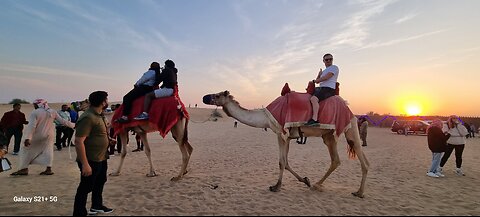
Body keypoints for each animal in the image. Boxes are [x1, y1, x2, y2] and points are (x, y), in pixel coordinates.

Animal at [202, 90, 372, 198]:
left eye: (217, 95)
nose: (204, 97)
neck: (265, 117)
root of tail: (350, 110)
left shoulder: (280, 133)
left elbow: (281, 162)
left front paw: (276, 187)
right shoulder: (288, 136)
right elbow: (286, 162)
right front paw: (305, 180)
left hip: (348, 128)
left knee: (353, 158)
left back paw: (355, 192)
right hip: (329, 136)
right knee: (344, 160)